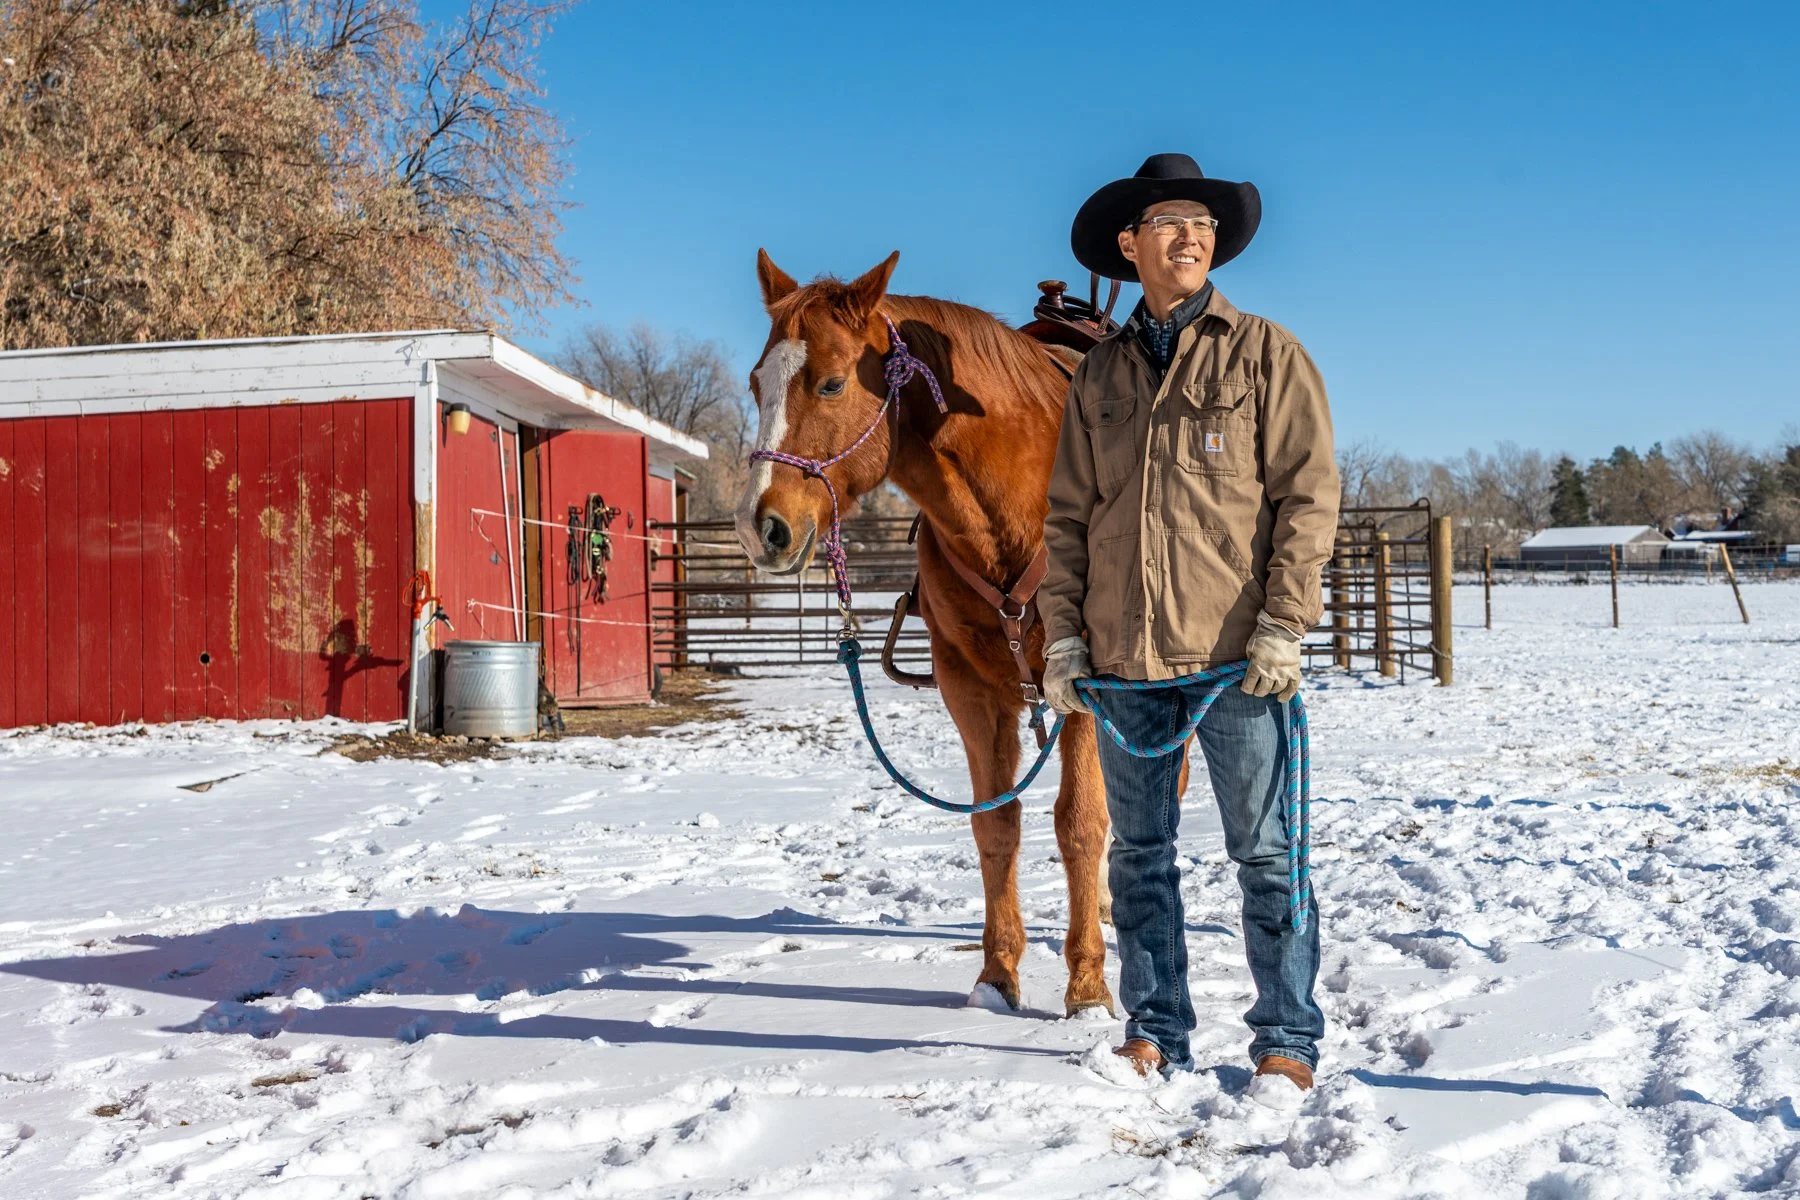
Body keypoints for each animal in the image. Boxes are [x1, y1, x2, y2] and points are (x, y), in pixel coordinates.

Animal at [735, 249, 1115, 1018]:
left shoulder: (1083, 688)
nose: (763, 528)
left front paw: (1088, 987)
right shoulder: (968, 688)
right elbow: (995, 823)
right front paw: (997, 979)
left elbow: (1082, 822)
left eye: (831, 382)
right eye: (757, 383)